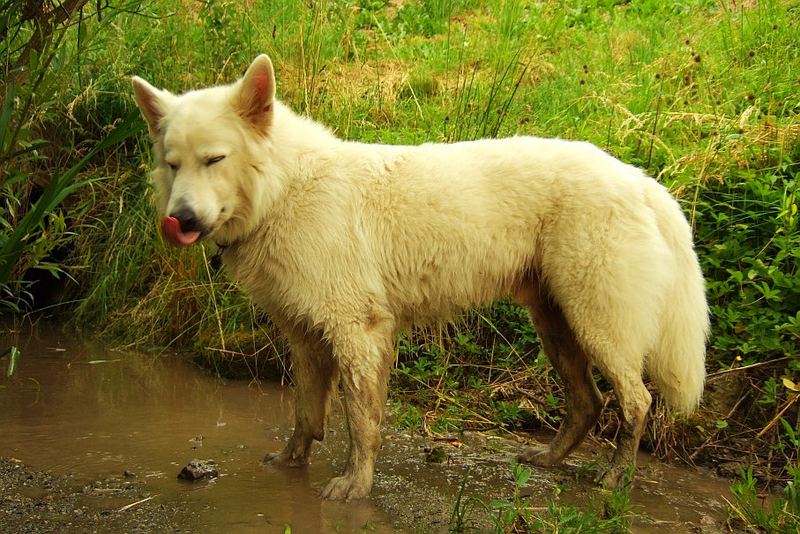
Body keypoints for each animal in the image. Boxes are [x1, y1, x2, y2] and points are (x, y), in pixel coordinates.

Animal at [133, 55, 712, 502]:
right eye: (173, 163)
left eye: (215, 159)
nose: (180, 219)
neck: (283, 190)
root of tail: (638, 179)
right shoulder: (305, 336)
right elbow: (306, 414)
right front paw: (291, 464)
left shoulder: (359, 332)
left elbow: (360, 423)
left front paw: (355, 487)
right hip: (556, 322)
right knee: (588, 403)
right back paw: (547, 460)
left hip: (597, 323)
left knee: (636, 401)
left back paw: (614, 479)